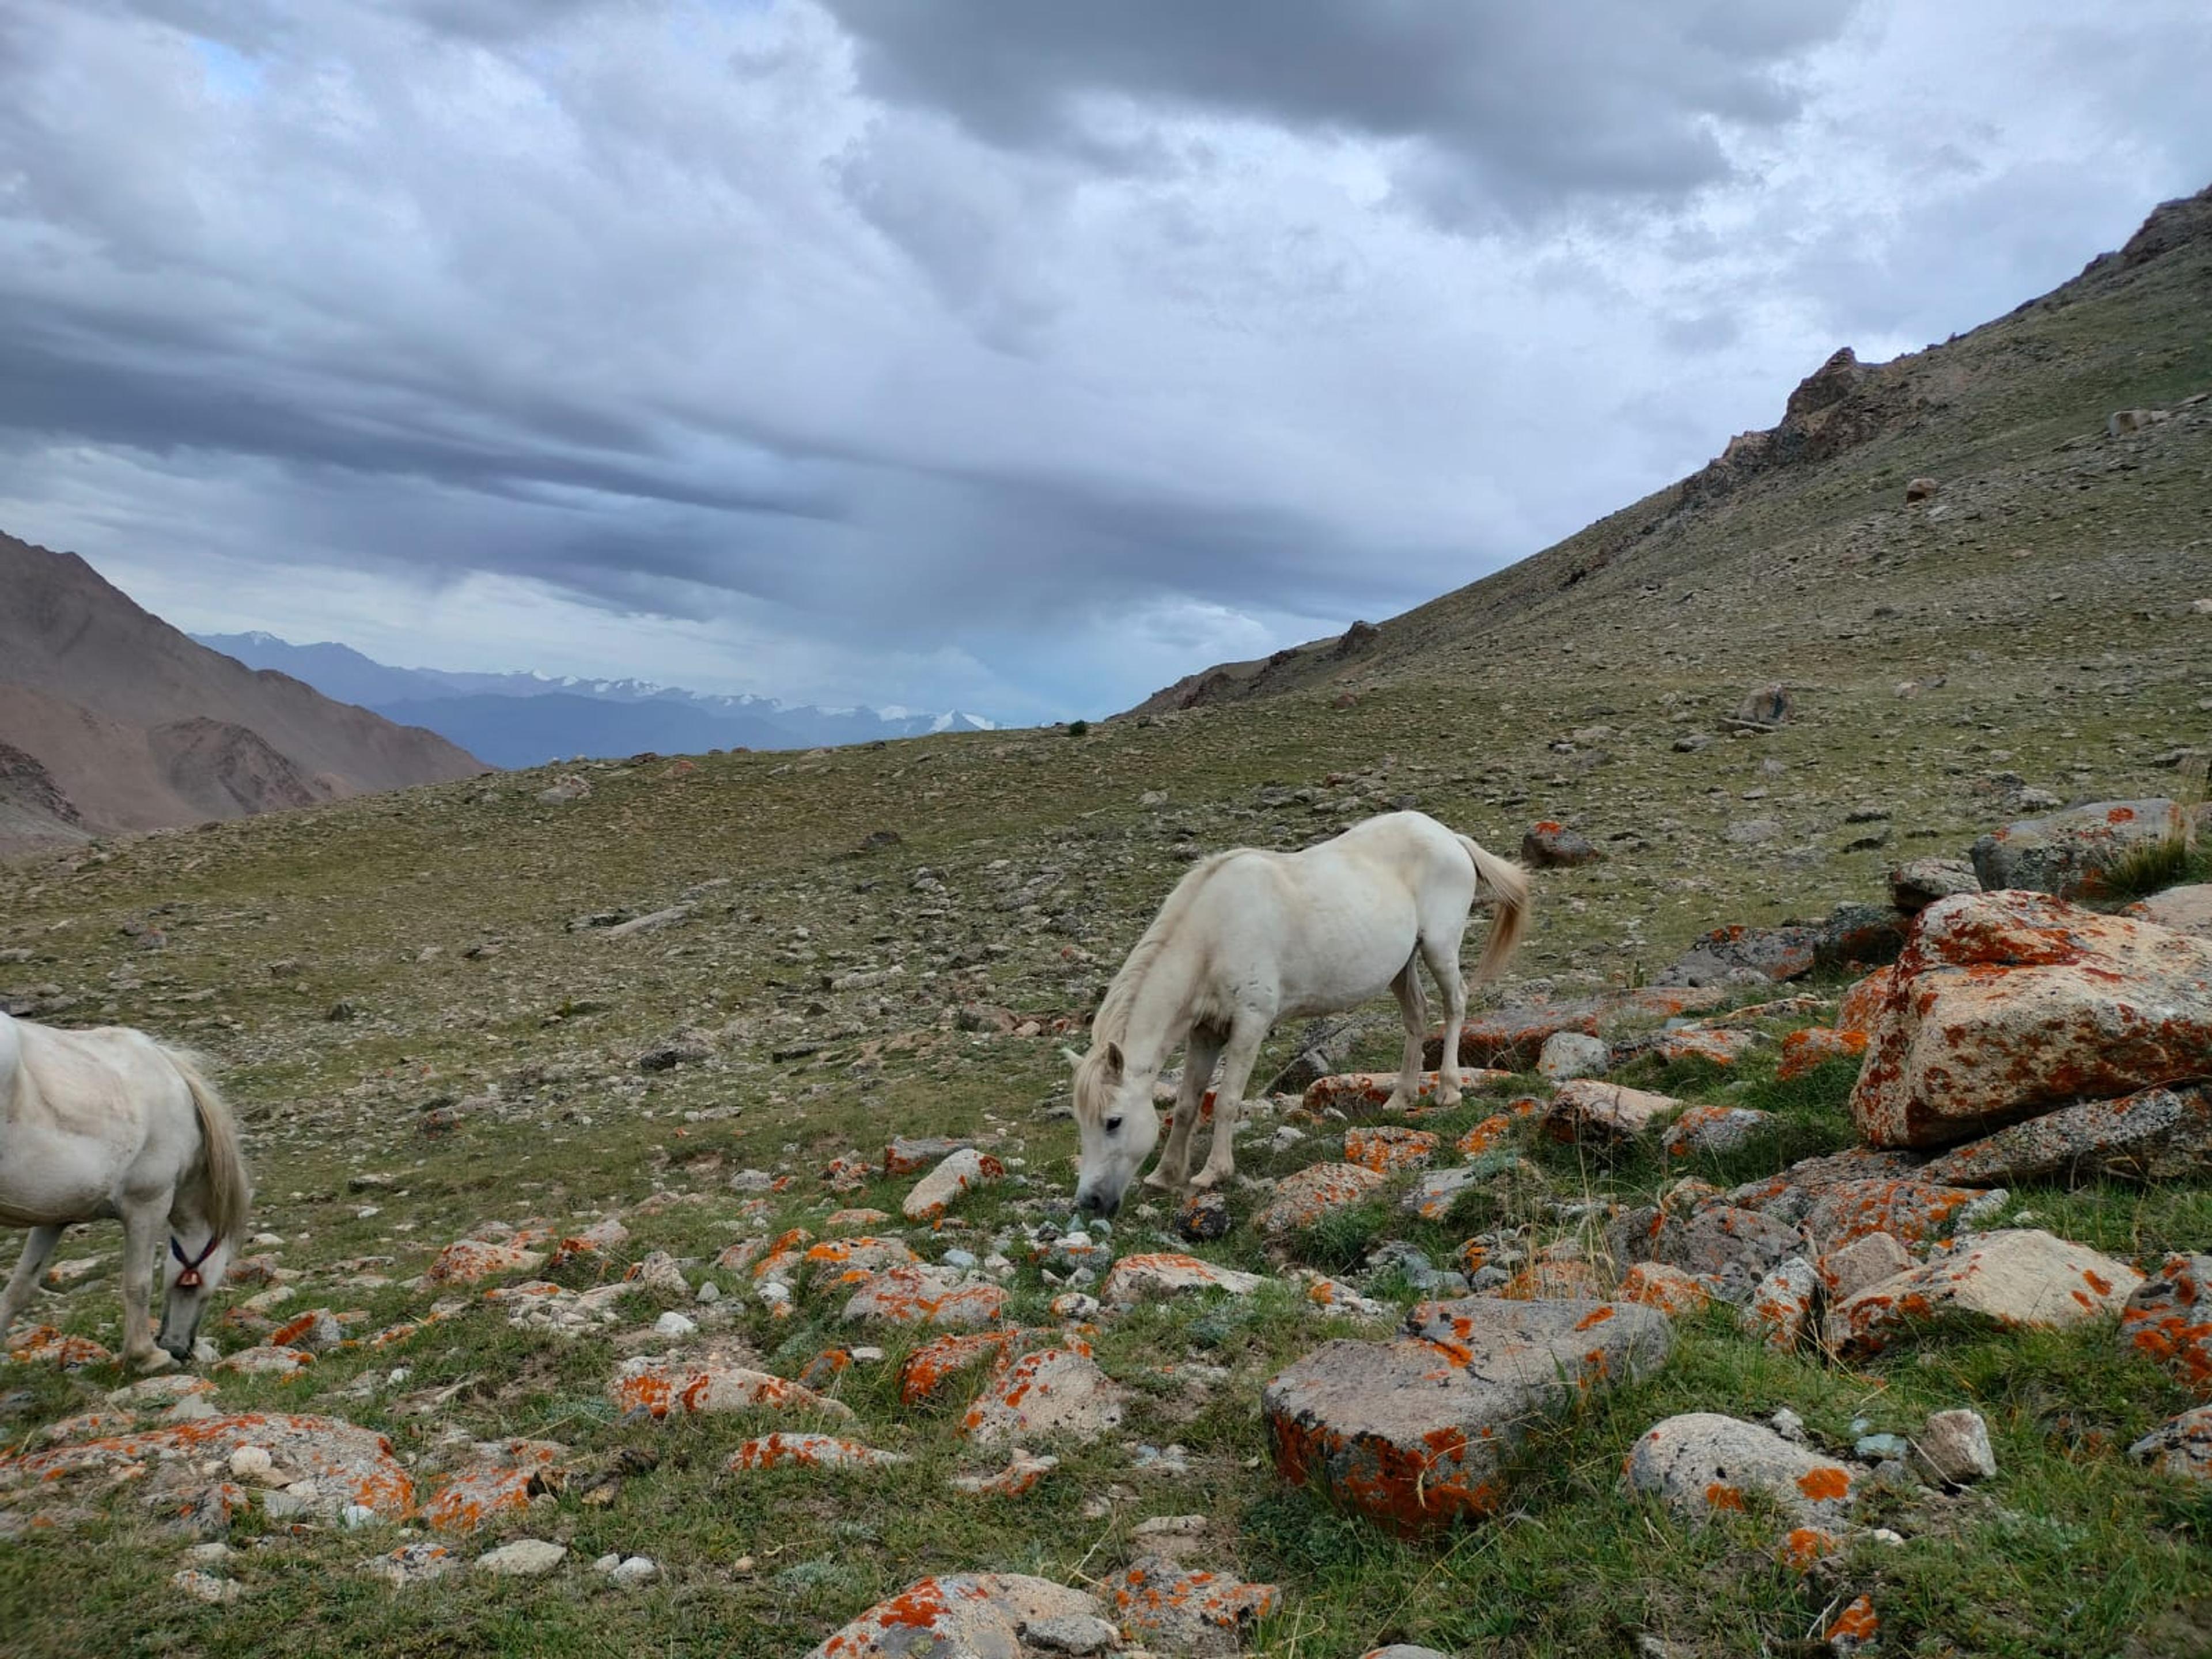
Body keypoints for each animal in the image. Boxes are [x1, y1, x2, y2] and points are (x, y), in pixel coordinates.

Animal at [0, 1010, 251, 1371]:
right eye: (201, 1284)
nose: (178, 1348)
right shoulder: (148, 1203)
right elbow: (138, 1283)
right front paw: (147, 1355)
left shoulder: (54, 1217)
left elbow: (21, 1287)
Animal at [1067, 810, 1529, 1218]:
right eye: (1081, 1122)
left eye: (1113, 1122)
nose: (1090, 1202)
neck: (1211, 934)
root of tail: (1449, 837)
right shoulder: (1205, 1031)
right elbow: (1186, 1103)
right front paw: (1166, 1175)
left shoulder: (1250, 1023)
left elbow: (1227, 1101)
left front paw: (1213, 1173)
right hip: (1402, 964)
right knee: (1417, 1016)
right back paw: (1401, 1098)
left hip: (1439, 947)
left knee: (1455, 1005)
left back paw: (1448, 1089)